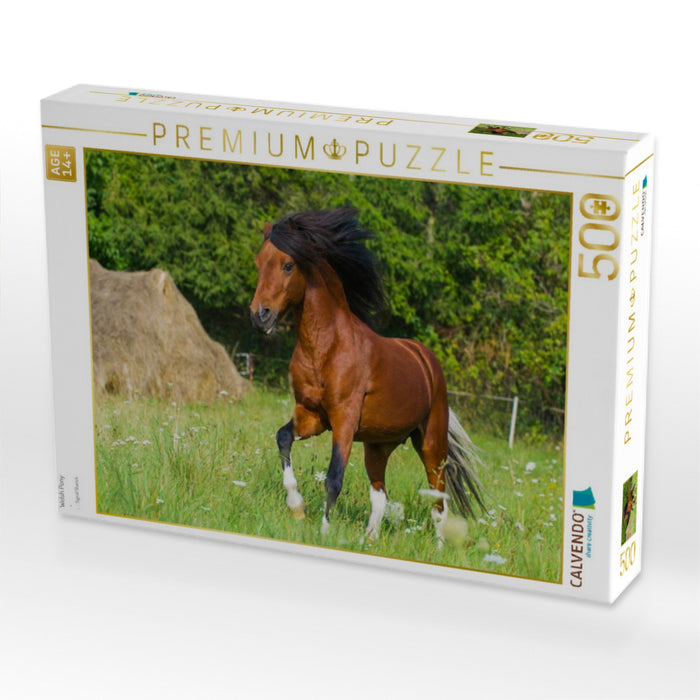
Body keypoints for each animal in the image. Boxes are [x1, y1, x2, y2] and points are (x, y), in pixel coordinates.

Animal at [250, 206, 484, 542]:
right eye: (258, 263)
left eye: (288, 264)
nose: (260, 315)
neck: (326, 347)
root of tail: (427, 362)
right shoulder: (311, 415)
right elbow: (283, 437)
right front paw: (296, 507)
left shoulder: (344, 421)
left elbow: (334, 477)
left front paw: (323, 531)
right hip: (378, 446)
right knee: (380, 496)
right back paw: (368, 540)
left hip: (430, 443)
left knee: (438, 499)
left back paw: (437, 545)